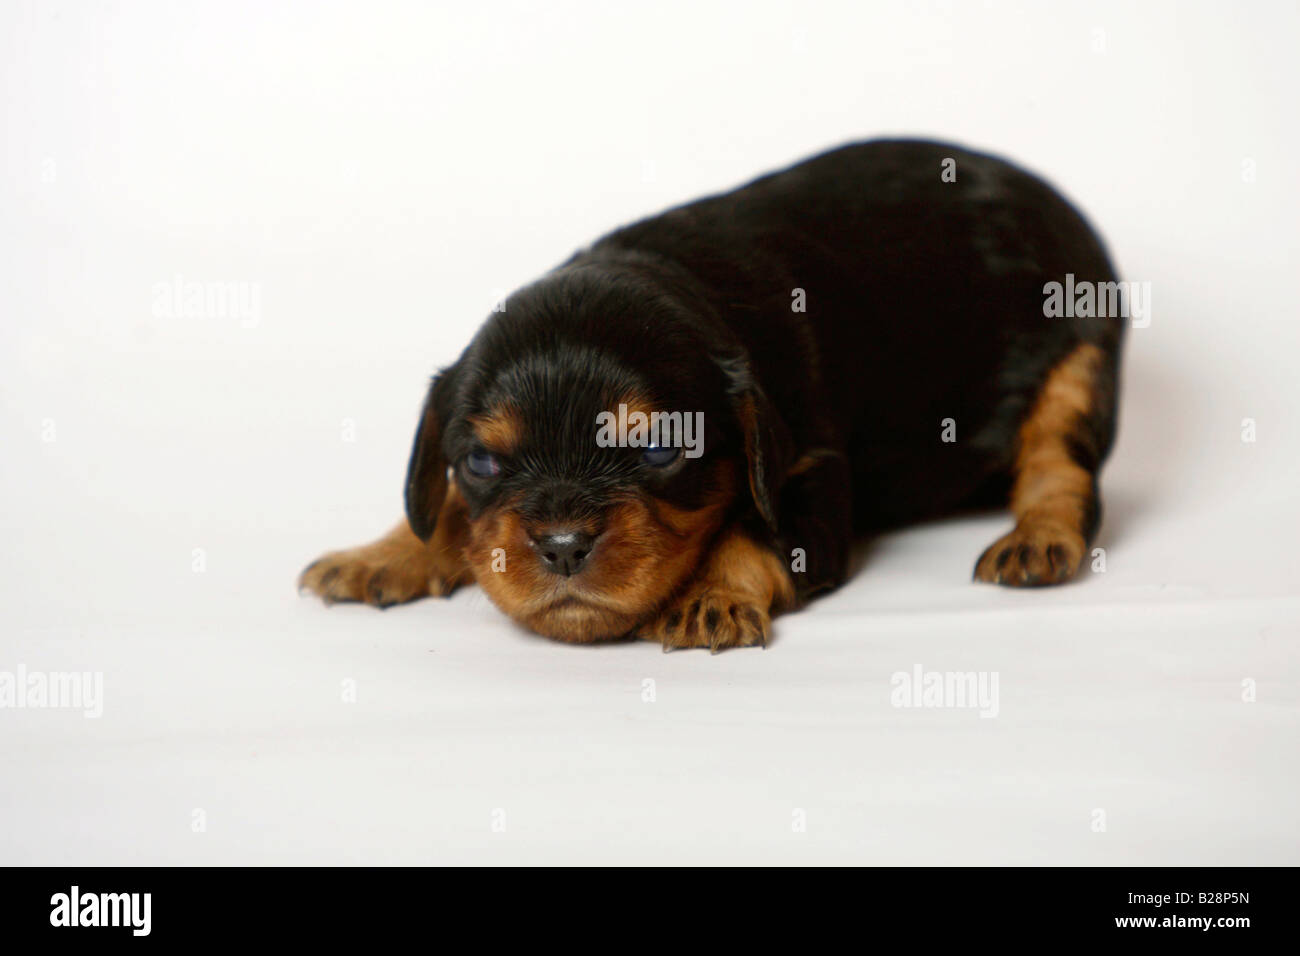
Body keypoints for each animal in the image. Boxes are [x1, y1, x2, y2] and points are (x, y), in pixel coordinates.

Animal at [299, 140, 1123, 650]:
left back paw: (1036, 539)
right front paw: (383, 553)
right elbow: (443, 510)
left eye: (662, 451)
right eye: (481, 464)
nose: (562, 546)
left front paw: (711, 596)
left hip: (1079, 363)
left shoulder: (814, 475)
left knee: (1062, 468)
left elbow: (751, 529)